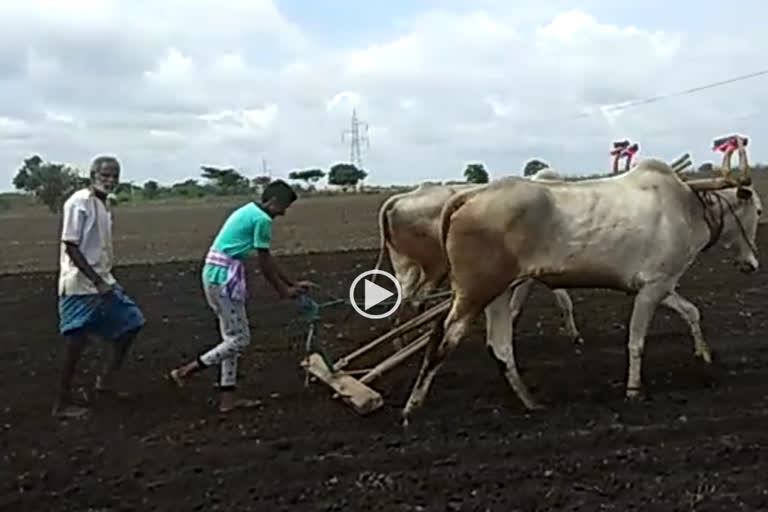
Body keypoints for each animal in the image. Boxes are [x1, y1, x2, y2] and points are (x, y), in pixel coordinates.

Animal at [402, 158, 760, 422]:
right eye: (757, 211)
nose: (753, 264)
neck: (687, 206)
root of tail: (468, 196)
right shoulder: (653, 286)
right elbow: (636, 342)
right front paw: (633, 390)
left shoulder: (662, 285)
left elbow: (691, 312)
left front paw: (705, 355)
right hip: (476, 291)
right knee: (443, 337)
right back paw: (412, 406)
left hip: (499, 292)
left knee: (499, 345)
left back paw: (530, 401)